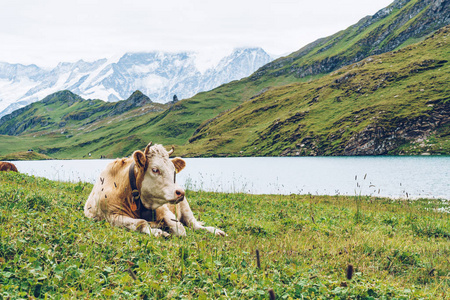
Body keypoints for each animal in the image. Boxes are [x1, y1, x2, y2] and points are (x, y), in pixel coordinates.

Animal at [83, 142, 227, 238]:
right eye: (155, 169)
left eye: (173, 170)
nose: (180, 192)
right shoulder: (111, 216)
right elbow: (141, 222)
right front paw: (158, 231)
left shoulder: (163, 209)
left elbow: (180, 229)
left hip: (185, 206)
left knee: (194, 224)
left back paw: (215, 231)